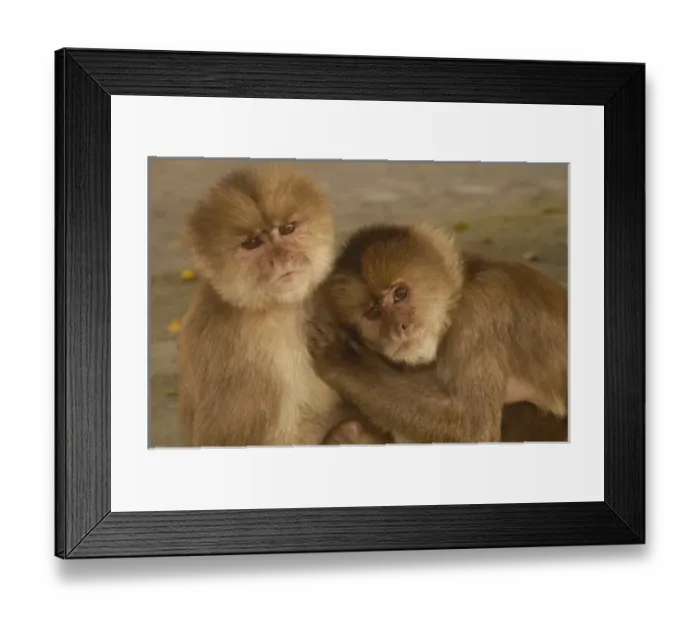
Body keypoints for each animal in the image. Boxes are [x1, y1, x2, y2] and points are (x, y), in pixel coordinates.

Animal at [309, 222, 568, 445]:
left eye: (400, 293)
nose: (399, 328)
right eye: (374, 312)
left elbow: (473, 430)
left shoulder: (481, 311)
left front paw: (345, 361)